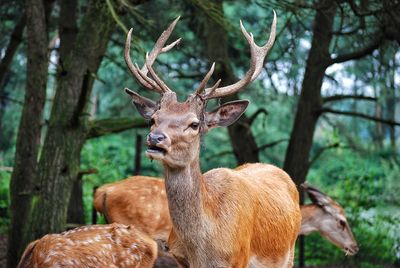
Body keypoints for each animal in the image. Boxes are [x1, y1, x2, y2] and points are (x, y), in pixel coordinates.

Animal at [123, 14, 302, 268]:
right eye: (153, 119)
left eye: (194, 124)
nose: (155, 138)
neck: (203, 251)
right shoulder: (180, 259)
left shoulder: (239, 258)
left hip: (290, 252)